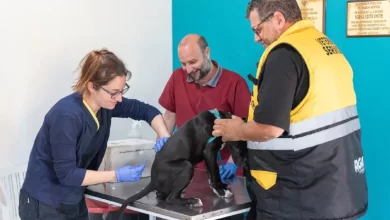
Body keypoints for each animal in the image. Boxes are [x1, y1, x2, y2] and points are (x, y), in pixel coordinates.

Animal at [116, 109, 247, 219]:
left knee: (164, 196)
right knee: (171, 198)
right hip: (187, 166)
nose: (244, 164)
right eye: (236, 146)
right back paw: (192, 201)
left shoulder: (209, 156)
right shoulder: (209, 152)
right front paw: (222, 191)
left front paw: (219, 189)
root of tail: (153, 180)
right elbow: (215, 174)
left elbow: (212, 175)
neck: (218, 120)